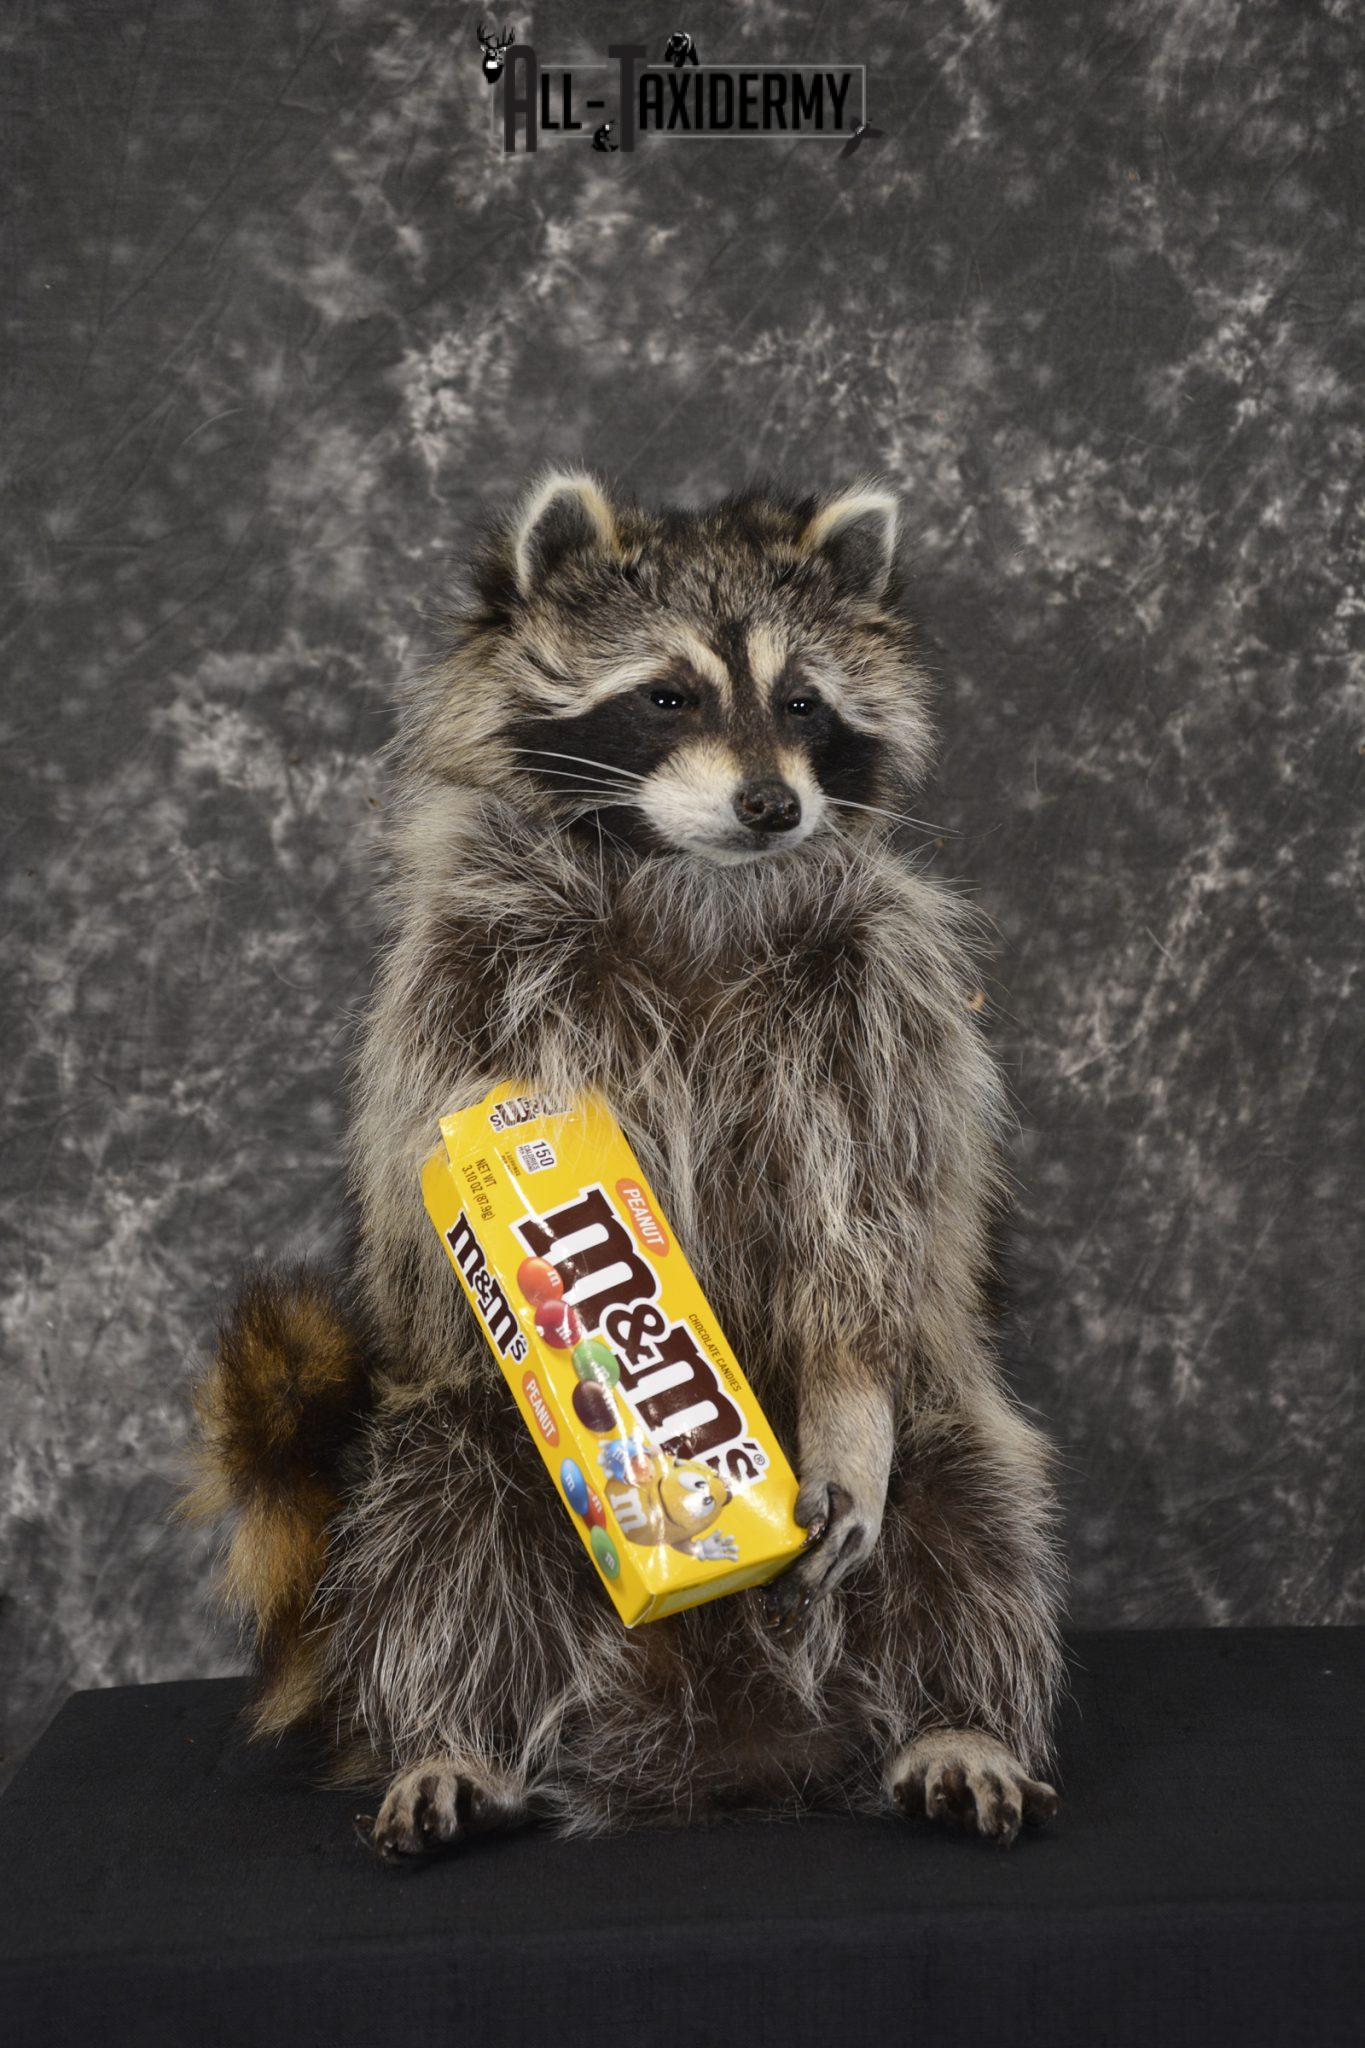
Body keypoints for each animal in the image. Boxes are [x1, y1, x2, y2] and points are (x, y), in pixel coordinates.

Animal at [186, 472, 1065, 1853]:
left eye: (802, 702)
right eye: (667, 697)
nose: (772, 805)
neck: (694, 875)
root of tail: (719, 1754)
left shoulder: (879, 998)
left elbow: (864, 1228)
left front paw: (845, 1408)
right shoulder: (470, 975)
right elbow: (437, 1191)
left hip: (941, 1444)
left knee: (971, 1510)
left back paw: (957, 1715)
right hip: (452, 1463)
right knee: (437, 1526)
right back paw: (459, 1735)